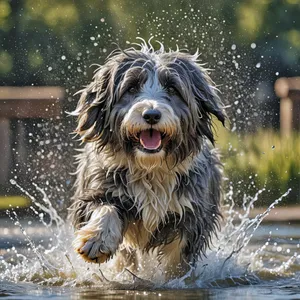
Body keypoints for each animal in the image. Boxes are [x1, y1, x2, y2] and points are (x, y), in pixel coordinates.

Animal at [69, 40, 225, 278]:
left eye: (172, 88)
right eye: (132, 87)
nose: (151, 115)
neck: (151, 169)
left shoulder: (191, 215)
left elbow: (177, 258)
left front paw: (174, 279)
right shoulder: (98, 189)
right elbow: (104, 208)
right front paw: (97, 239)